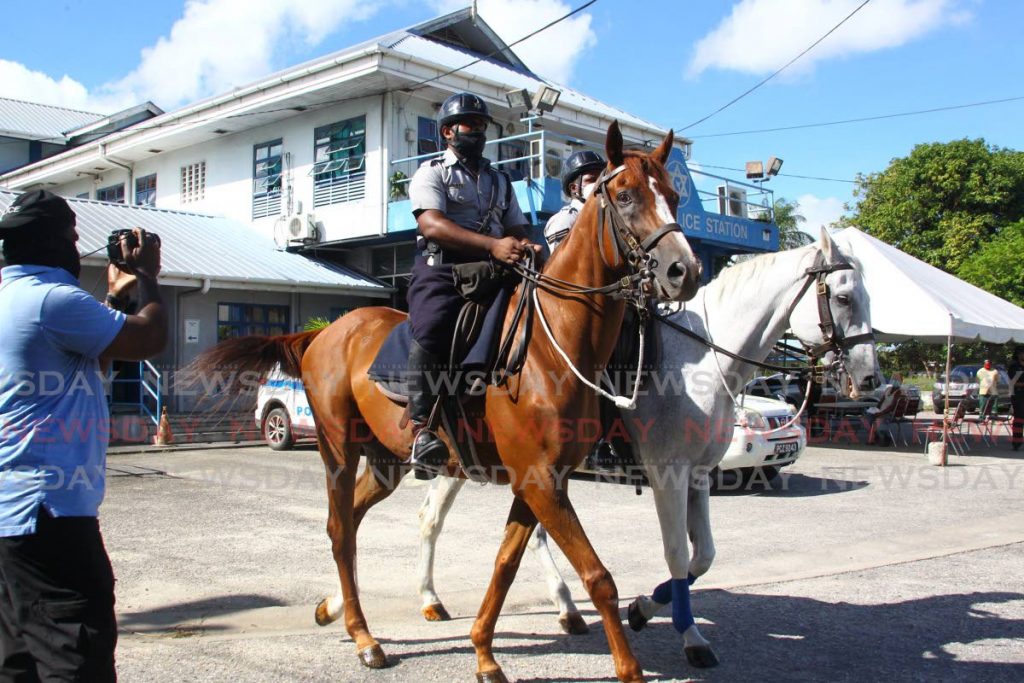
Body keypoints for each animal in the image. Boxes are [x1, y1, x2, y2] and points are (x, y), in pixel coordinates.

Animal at [192, 124, 704, 683]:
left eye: (673, 196)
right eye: (626, 195)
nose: (684, 270)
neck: (552, 346)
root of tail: (324, 333)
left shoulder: (539, 482)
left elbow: (505, 565)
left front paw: (483, 652)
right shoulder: (541, 483)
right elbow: (598, 575)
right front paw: (628, 668)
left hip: (386, 461)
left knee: (350, 521)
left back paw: (335, 609)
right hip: (338, 451)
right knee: (340, 530)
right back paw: (363, 636)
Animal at [411, 229, 876, 667]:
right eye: (843, 297)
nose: (868, 376)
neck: (705, 362)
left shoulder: (699, 475)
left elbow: (703, 556)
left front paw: (644, 609)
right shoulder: (668, 474)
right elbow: (677, 554)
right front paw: (686, 635)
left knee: (469, 523)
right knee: (448, 521)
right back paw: (442, 599)